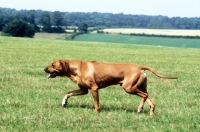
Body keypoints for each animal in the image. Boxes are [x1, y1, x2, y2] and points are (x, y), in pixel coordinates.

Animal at [44, 59, 177, 115]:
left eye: (53, 65)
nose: (44, 69)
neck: (76, 68)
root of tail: (139, 67)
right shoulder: (84, 90)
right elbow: (68, 93)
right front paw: (64, 102)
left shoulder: (94, 89)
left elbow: (96, 103)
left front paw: (96, 112)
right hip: (139, 87)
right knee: (150, 99)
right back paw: (150, 113)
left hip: (129, 88)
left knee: (144, 96)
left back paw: (140, 108)